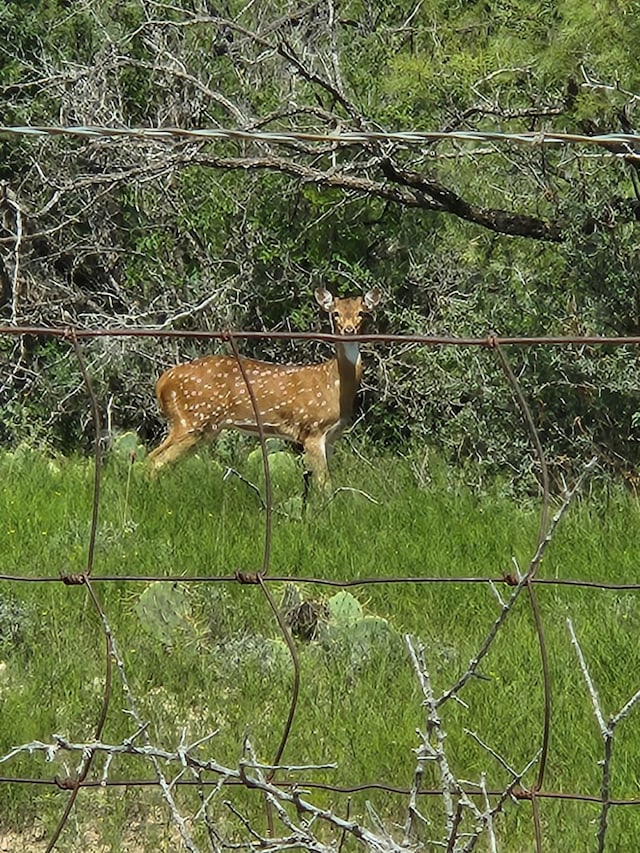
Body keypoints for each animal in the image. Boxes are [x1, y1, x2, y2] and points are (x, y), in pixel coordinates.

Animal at [148, 286, 382, 486]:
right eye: (335, 314)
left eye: (362, 313)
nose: (349, 329)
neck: (333, 383)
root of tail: (163, 381)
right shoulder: (312, 430)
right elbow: (324, 484)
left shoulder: (332, 436)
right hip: (190, 420)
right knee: (155, 458)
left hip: (201, 427)